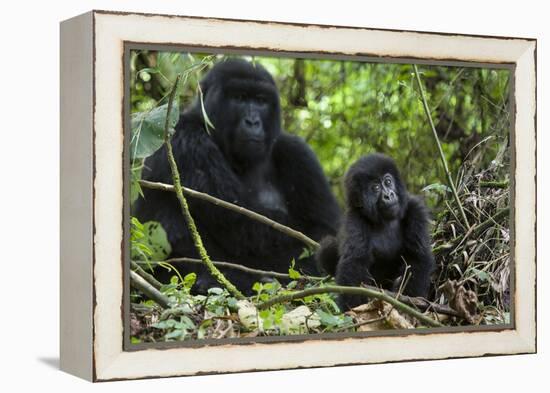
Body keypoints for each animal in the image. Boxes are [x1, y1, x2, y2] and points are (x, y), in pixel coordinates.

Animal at [134, 58, 340, 290]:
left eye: (261, 100)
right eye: (239, 98)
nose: (253, 122)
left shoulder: (298, 153)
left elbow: (325, 228)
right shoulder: (184, 137)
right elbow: (245, 228)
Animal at [320, 153, 436, 310]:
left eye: (388, 182)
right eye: (375, 187)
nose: (389, 195)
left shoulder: (415, 208)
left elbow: (417, 257)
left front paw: (411, 301)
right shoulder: (355, 220)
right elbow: (354, 264)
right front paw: (353, 310)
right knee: (327, 247)